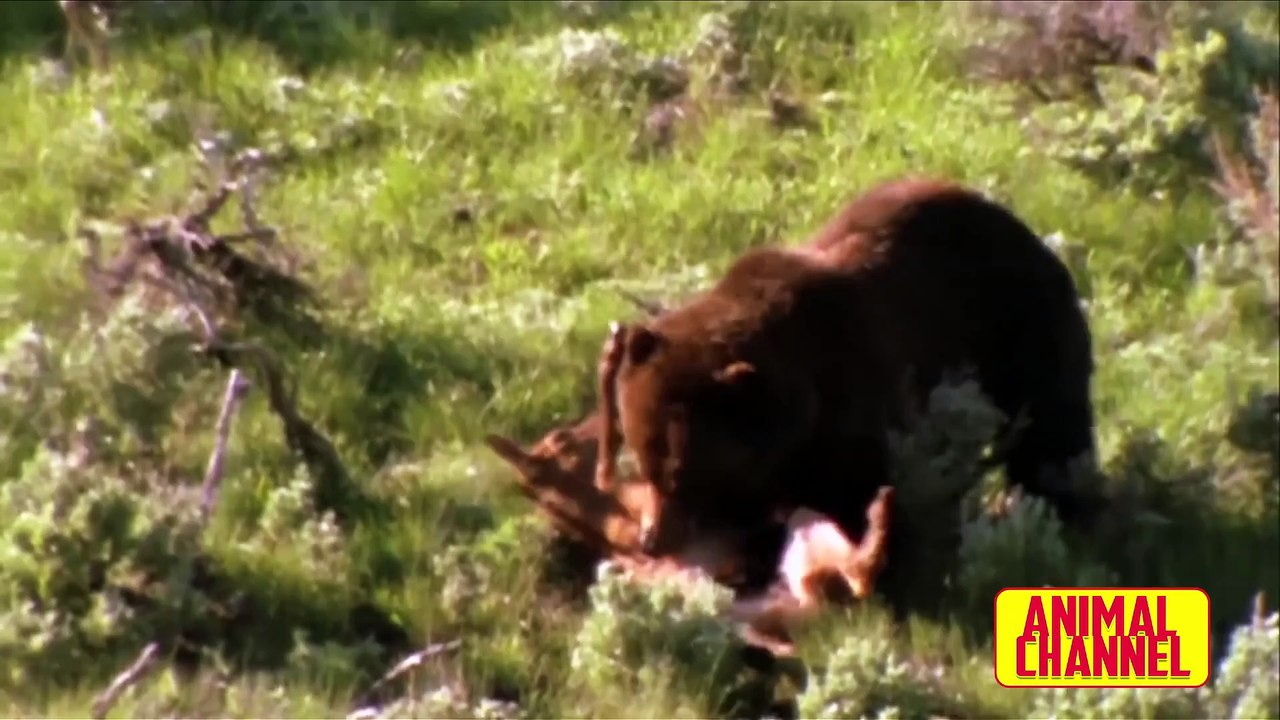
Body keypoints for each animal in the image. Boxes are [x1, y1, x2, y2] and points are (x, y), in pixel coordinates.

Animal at [594, 176, 1099, 590]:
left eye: (681, 473)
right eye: (642, 457)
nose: (652, 540)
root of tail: (1033, 235)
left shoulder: (858, 404)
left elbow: (868, 498)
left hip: (1020, 331)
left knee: (1051, 436)